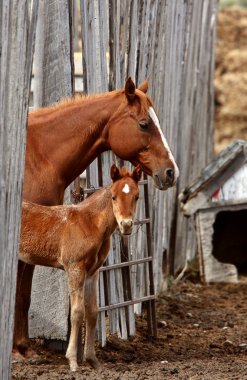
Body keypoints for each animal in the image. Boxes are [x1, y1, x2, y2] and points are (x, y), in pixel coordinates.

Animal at [19, 163, 141, 372]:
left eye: (137, 196)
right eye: (114, 197)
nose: (126, 225)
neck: (89, 223)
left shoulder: (93, 272)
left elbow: (92, 311)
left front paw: (93, 360)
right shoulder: (74, 268)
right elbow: (77, 313)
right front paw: (73, 361)